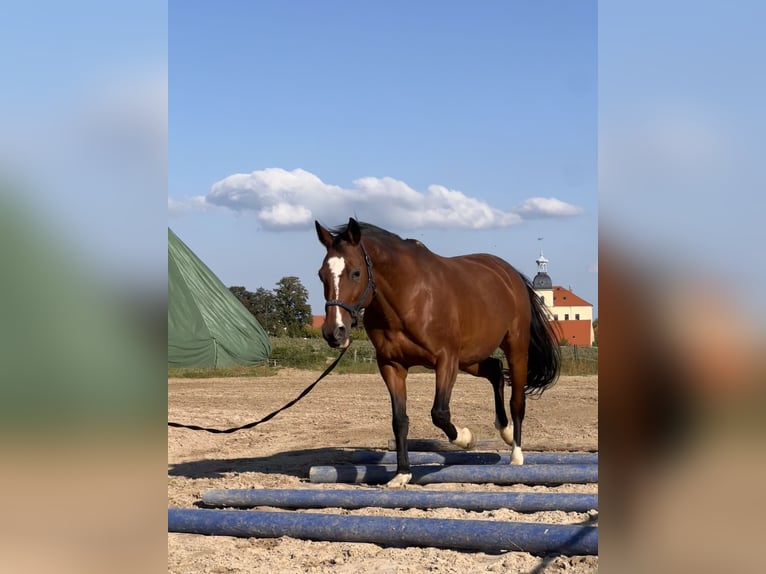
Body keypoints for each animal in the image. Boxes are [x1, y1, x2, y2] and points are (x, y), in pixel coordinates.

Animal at [316, 218, 560, 488]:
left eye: (356, 272)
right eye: (321, 275)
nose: (334, 332)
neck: (408, 297)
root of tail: (510, 274)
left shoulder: (445, 360)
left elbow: (439, 413)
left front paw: (466, 438)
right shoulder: (391, 365)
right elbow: (400, 420)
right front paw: (402, 474)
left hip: (514, 348)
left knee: (517, 400)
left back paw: (516, 455)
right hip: (469, 358)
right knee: (495, 370)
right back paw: (504, 430)